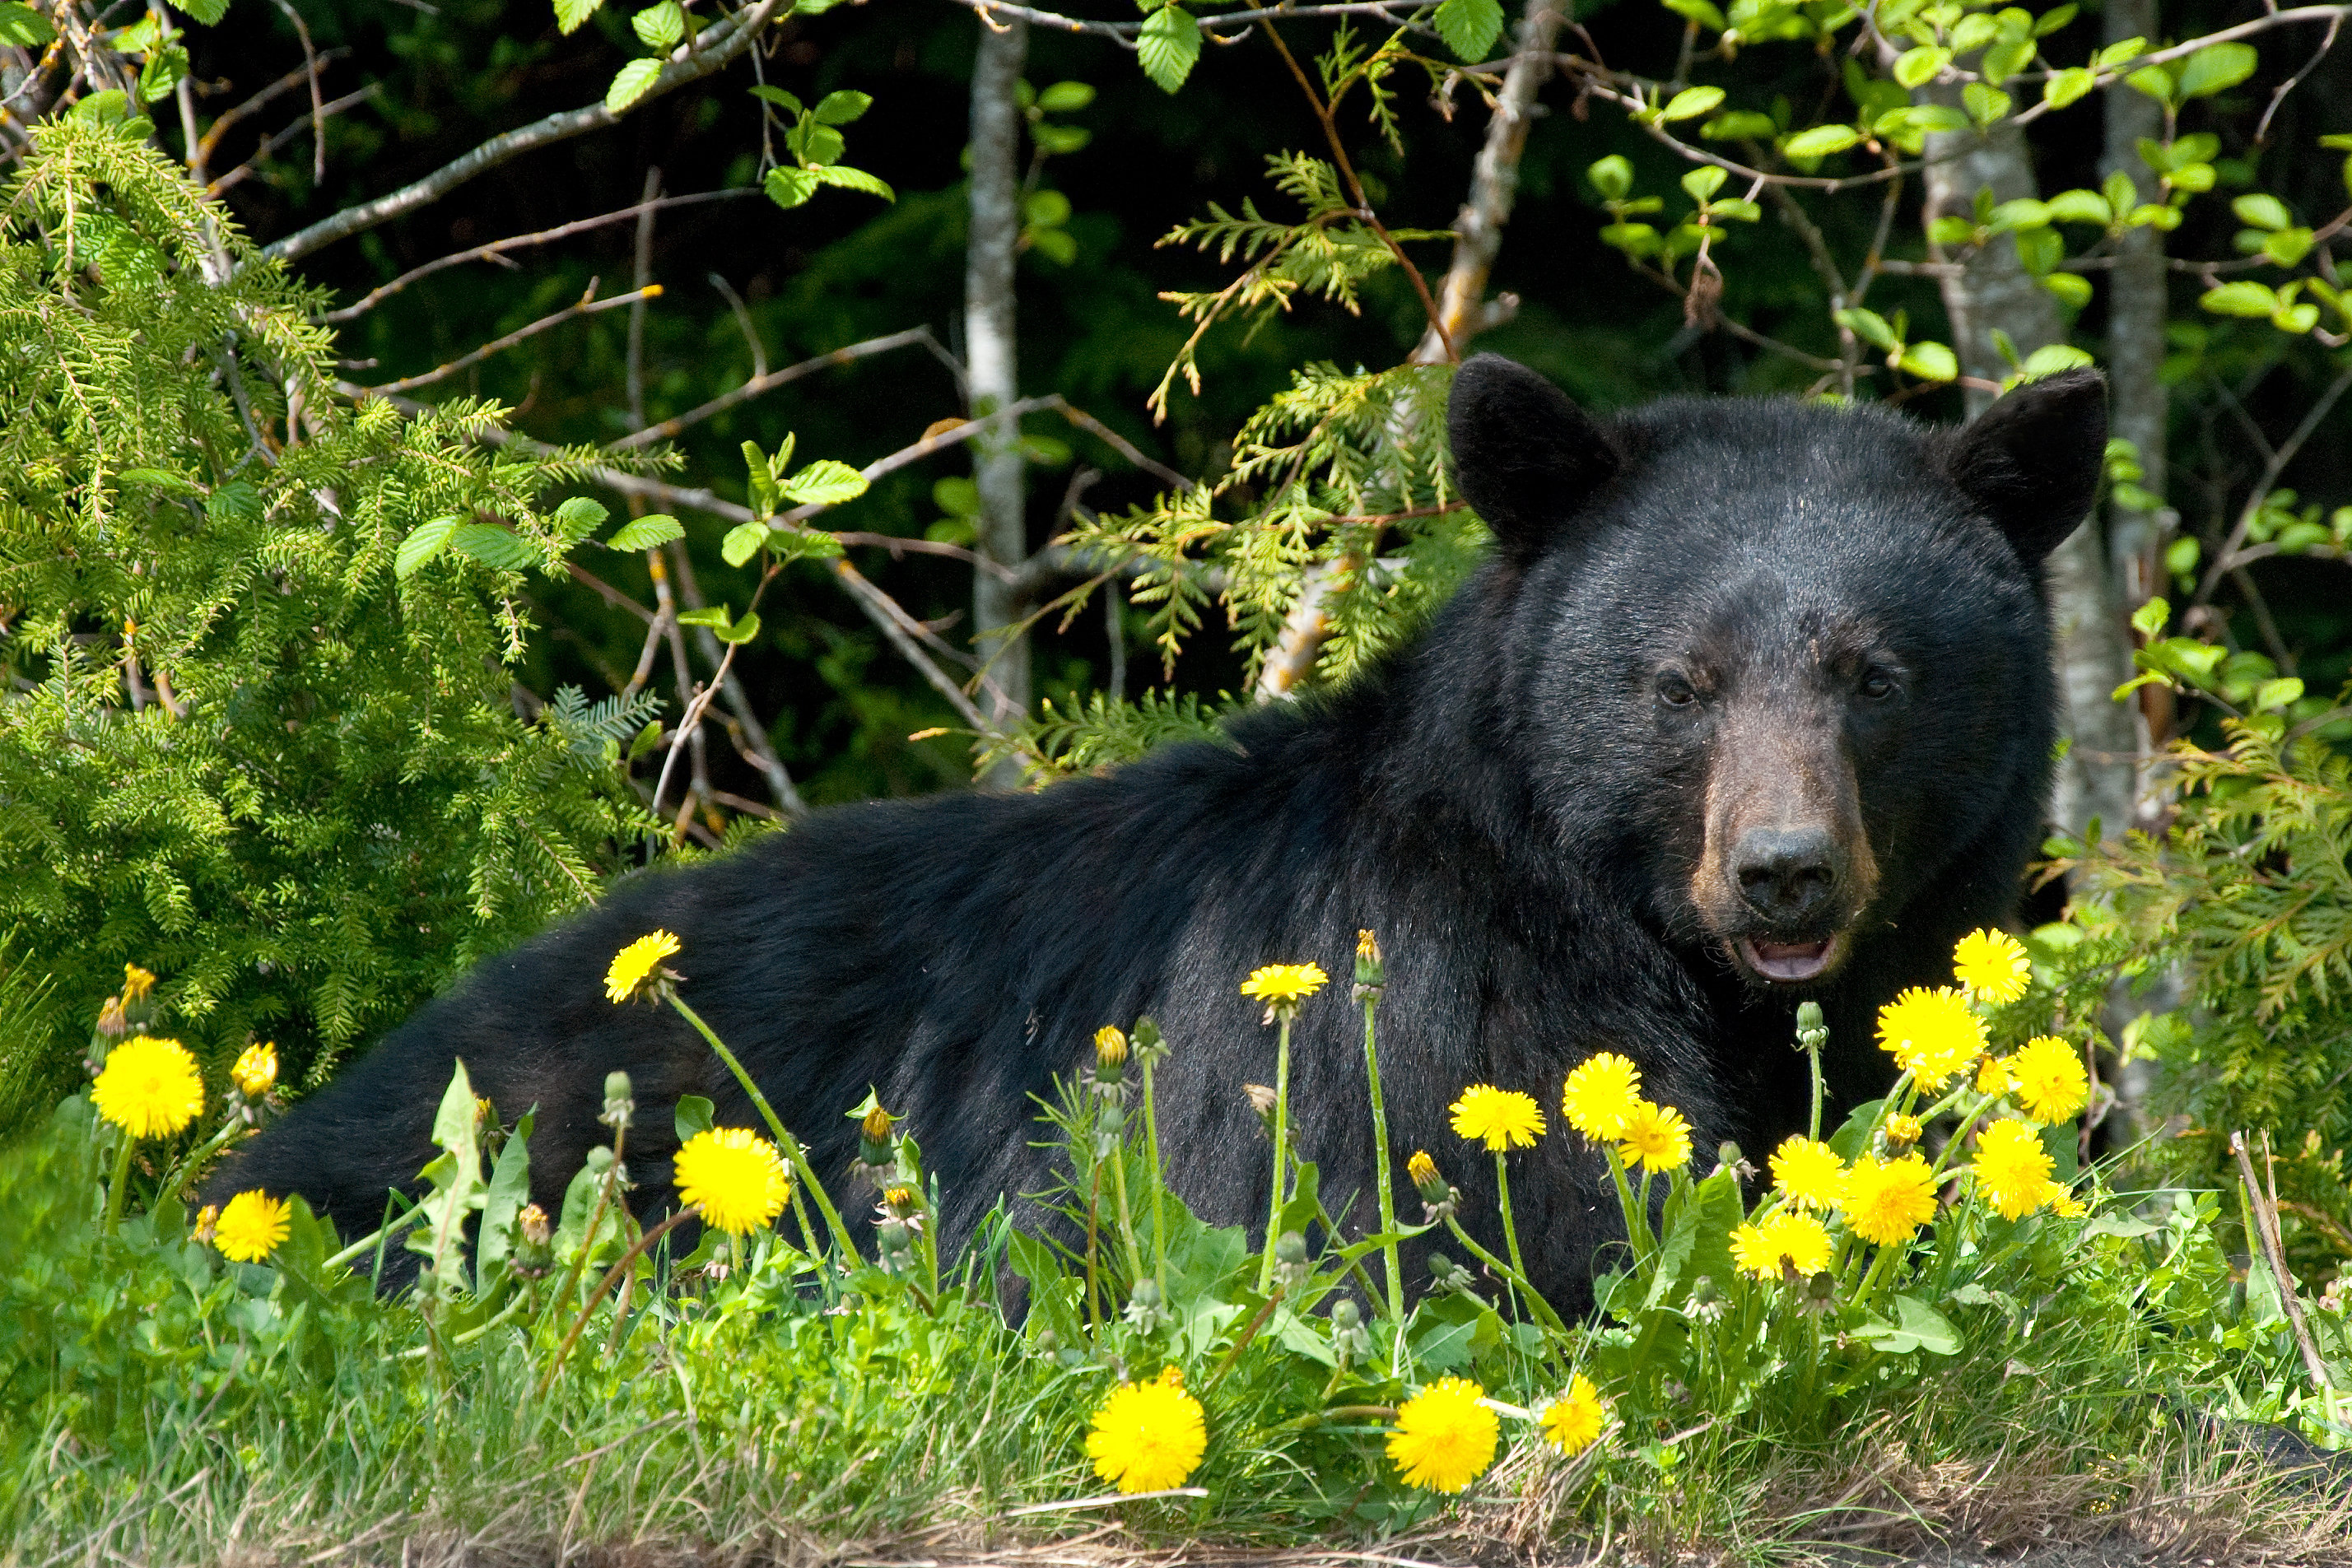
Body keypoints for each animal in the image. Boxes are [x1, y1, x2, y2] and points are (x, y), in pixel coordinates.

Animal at [206, 355, 2107, 1313]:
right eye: (1678, 682)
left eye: (1875, 675)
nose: (1782, 870)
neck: (1612, 918)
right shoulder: (1428, 1015)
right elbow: (1497, 1226)